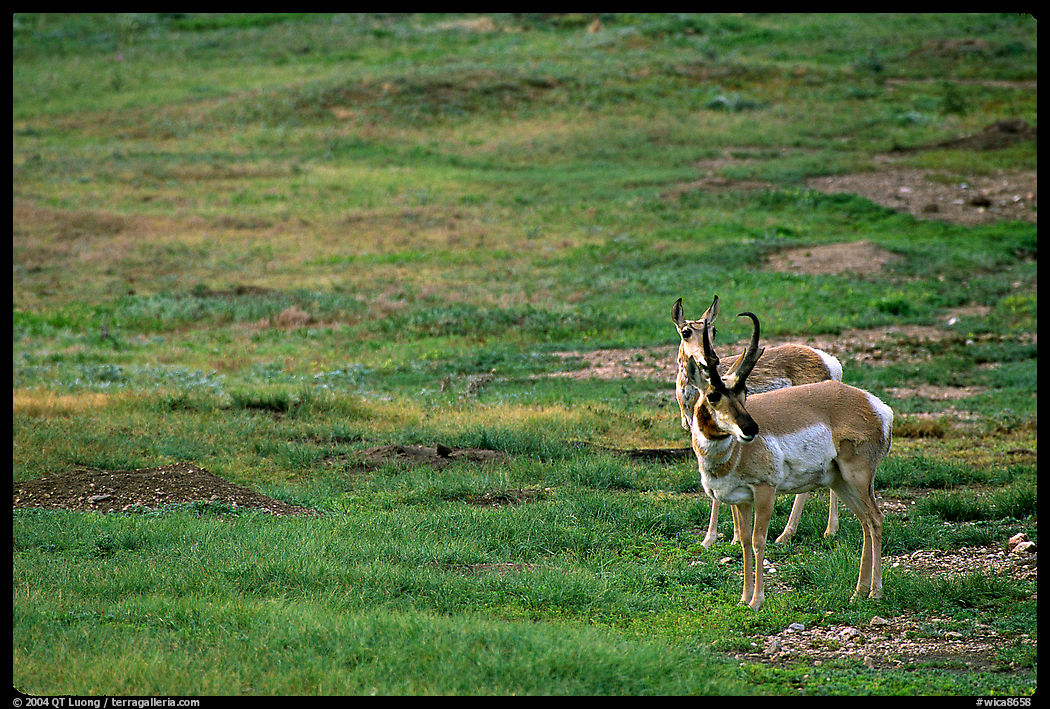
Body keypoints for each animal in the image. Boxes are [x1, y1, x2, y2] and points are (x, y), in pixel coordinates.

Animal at [673, 296, 844, 547]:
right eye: (686, 332)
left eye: (714, 330)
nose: (710, 358)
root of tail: (831, 362)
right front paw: (729, 536)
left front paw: (713, 539)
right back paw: (827, 530)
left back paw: (793, 534)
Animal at [686, 311, 891, 610]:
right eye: (713, 395)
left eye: (744, 392)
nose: (751, 429)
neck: (733, 453)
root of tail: (875, 405)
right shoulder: (742, 500)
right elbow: (744, 541)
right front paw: (743, 598)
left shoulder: (764, 491)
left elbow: (759, 541)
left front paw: (757, 601)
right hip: (841, 482)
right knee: (865, 522)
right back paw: (859, 592)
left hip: (858, 478)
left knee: (875, 520)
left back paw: (875, 592)